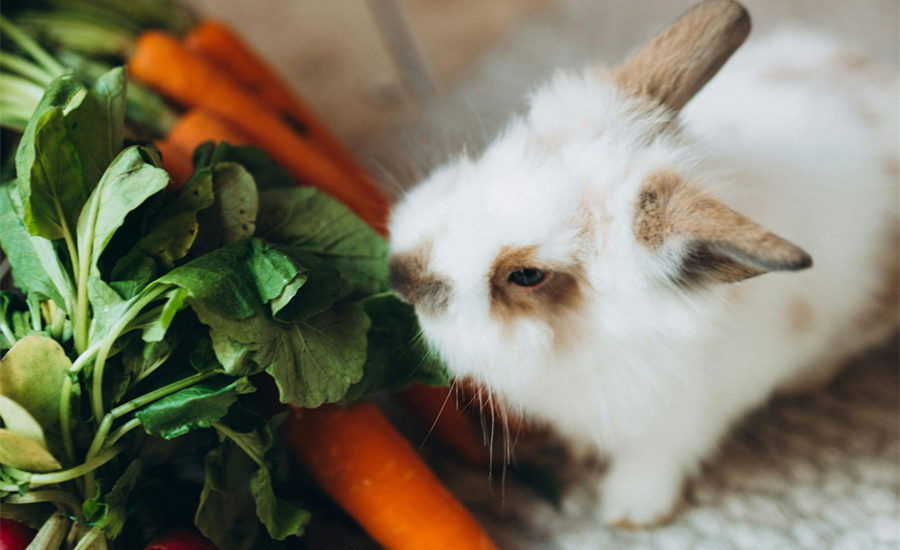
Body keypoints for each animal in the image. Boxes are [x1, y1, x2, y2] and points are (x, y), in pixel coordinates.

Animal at [387, 0, 898, 527]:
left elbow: (655, 458)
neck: (592, 336)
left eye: (527, 275)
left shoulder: (682, 418)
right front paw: (581, 452)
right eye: (494, 160)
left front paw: (631, 512)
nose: (401, 276)